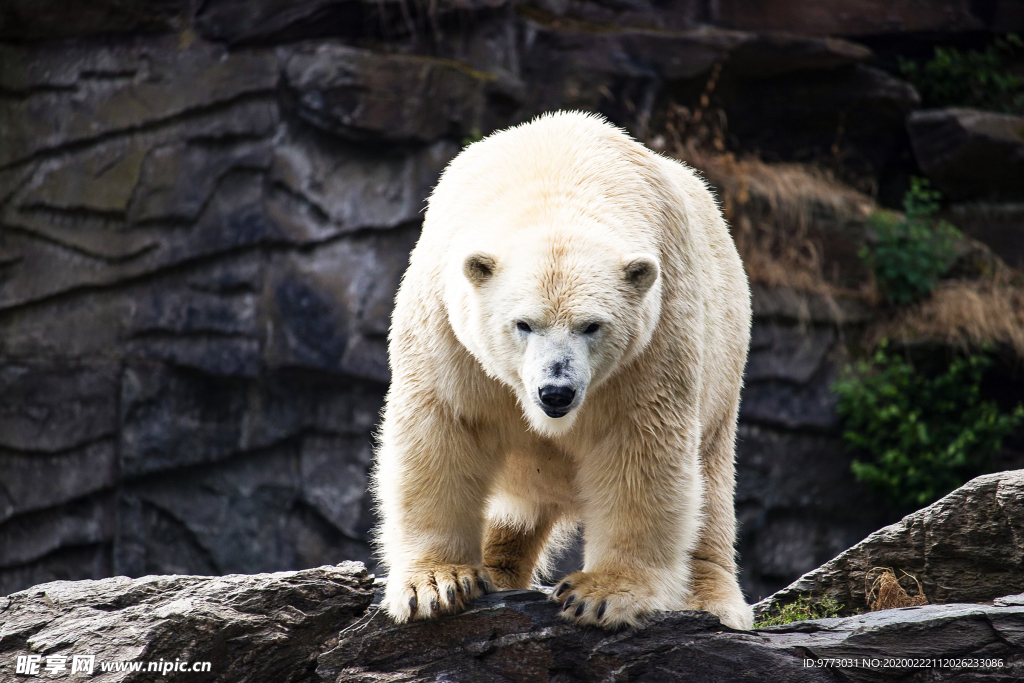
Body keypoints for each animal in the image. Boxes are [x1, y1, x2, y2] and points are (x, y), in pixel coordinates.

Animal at [374, 111, 753, 630]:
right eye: (523, 324)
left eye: (591, 326)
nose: (556, 391)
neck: (556, 172)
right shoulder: (448, 331)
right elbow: (440, 431)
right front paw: (436, 584)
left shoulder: (654, 337)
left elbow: (640, 448)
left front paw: (601, 595)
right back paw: (496, 568)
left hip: (723, 368)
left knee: (710, 488)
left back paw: (712, 601)